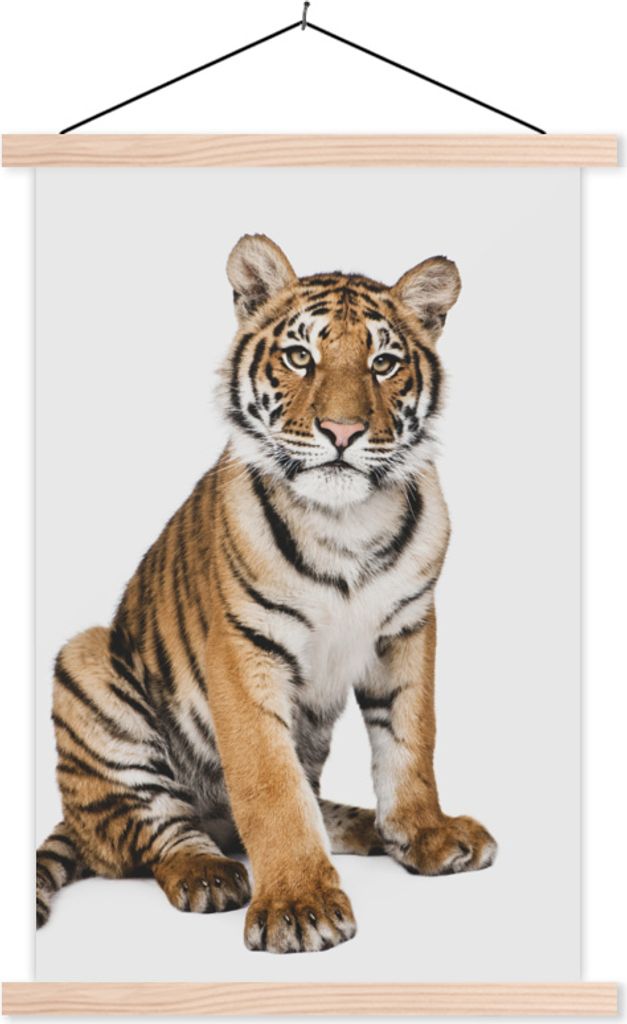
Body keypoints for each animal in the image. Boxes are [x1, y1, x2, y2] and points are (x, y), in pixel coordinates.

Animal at [36, 233, 497, 954]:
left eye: (384, 362)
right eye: (300, 356)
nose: (342, 432)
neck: (345, 523)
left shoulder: (407, 629)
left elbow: (410, 741)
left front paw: (425, 834)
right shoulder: (243, 649)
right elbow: (270, 787)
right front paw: (299, 906)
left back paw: (366, 828)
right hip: (86, 667)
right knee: (153, 834)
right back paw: (209, 874)